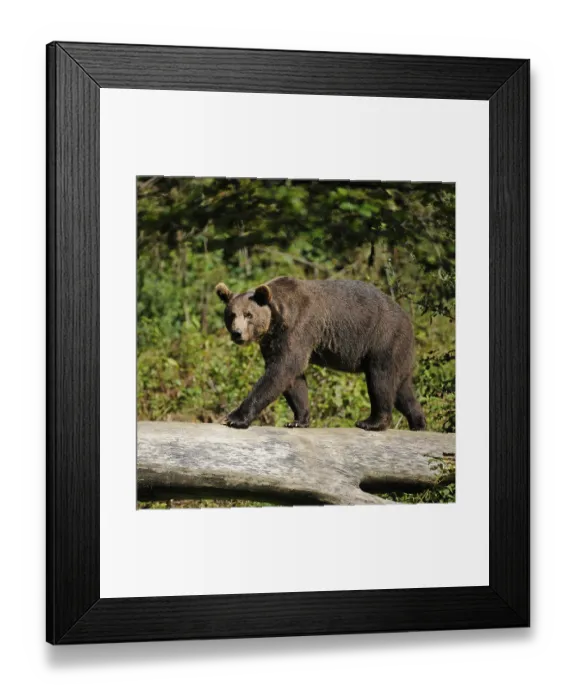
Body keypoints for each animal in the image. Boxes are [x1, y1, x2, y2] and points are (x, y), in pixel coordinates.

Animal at [215, 276, 426, 432]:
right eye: (231, 314)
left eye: (248, 314)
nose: (237, 333)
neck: (277, 319)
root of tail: (408, 320)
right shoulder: (274, 341)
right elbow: (292, 378)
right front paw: (298, 420)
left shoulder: (300, 326)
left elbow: (282, 370)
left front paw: (234, 418)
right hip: (400, 352)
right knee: (402, 389)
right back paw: (418, 423)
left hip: (384, 338)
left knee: (380, 379)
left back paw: (371, 422)